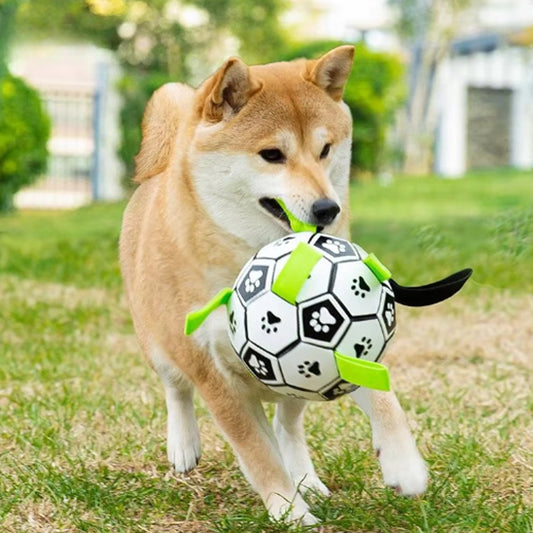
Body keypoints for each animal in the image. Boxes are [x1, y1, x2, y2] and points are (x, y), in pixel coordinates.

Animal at [118, 44, 426, 524]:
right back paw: (184, 444)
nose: (328, 209)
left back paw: (306, 478)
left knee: (287, 424)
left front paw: (404, 463)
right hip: (159, 342)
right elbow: (256, 452)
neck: (252, 254)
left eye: (325, 149)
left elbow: (383, 398)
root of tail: (155, 176)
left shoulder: (349, 341)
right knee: (177, 389)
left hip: (298, 376)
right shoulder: (213, 373)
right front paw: (290, 511)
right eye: (271, 155)